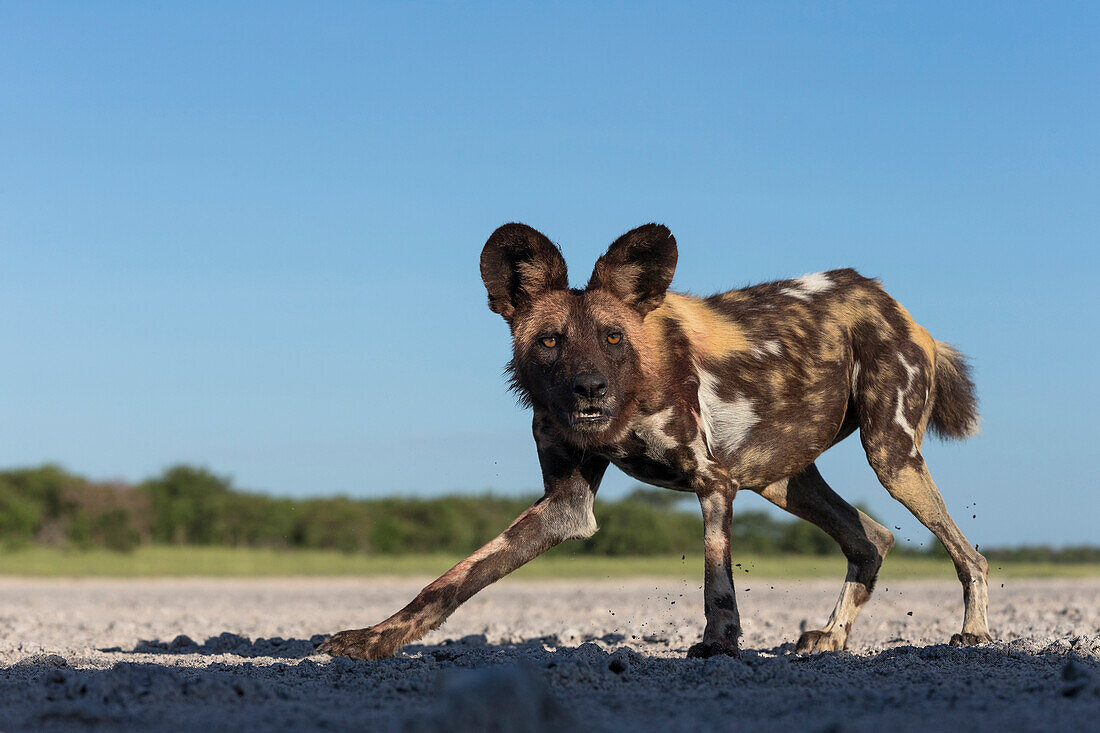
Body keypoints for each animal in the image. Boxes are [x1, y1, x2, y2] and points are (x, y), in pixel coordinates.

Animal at [321, 221, 990, 655]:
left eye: (614, 337)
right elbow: (451, 582)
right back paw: (831, 637)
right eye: (549, 341)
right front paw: (376, 638)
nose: (589, 389)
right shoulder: (564, 509)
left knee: (970, 555)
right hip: (780, 480)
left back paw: (974, 633)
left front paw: (719, 644)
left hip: (890, 457)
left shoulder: (713, 481)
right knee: (872, 538)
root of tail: (900, 309)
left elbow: (716, 578)